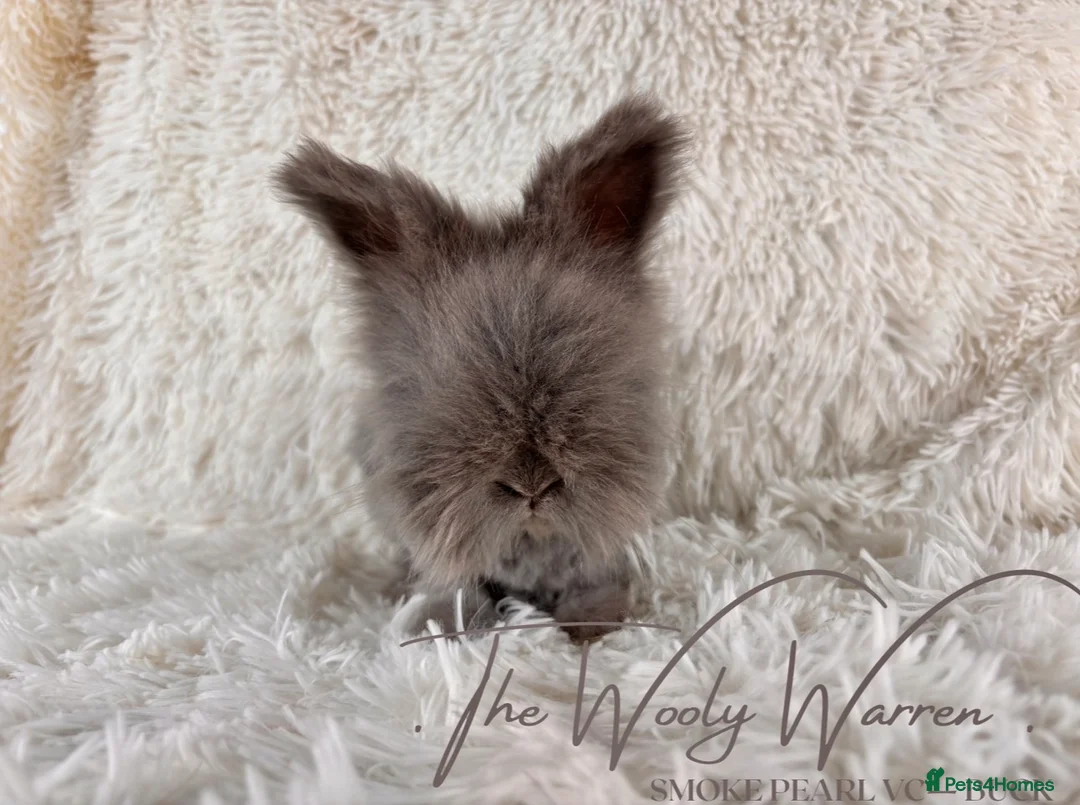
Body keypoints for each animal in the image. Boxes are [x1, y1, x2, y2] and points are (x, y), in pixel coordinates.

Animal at [274, 96, 686, 643]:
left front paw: (590, 628)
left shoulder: (599, 554)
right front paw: (438, 626)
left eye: (590, 361)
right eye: (431, 382)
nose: (532, 485)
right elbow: (457, 590)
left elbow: (596, 586)